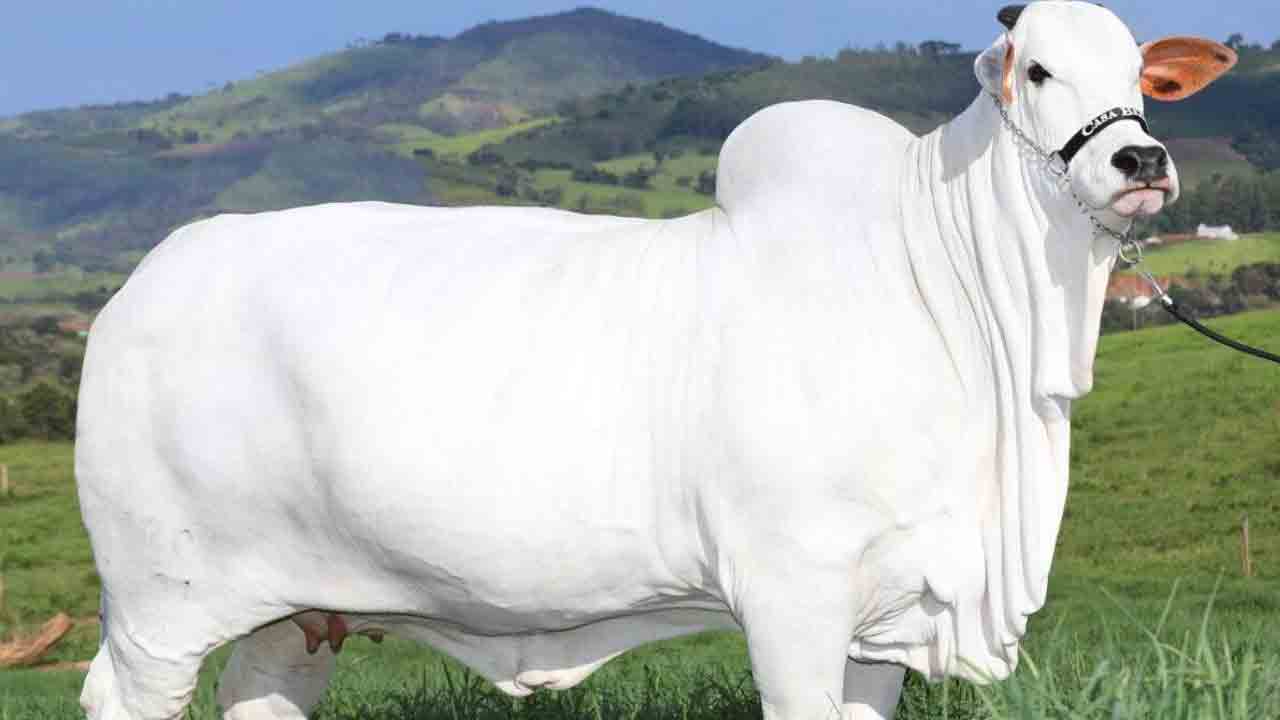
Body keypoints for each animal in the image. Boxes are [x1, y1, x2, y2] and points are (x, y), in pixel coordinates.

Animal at [75, 3, 1234, 719]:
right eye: (1036, 69)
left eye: (1141, 77)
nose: (1140, 160)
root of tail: (139, 288)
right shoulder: (792, 596)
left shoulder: (887, 618)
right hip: (159, 606)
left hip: (294, 615)